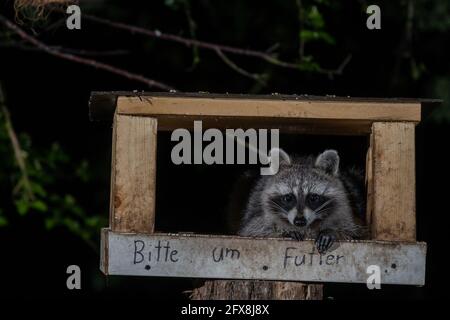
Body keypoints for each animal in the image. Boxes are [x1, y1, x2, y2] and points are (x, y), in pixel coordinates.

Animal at [236, 149, 366, 254]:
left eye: (313, 198)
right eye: (288, 198)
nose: (299, 221)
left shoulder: (346, 212)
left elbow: (354, 232)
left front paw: (332, 232)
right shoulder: (257, 212)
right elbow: (254, 230)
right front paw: (285, 231)